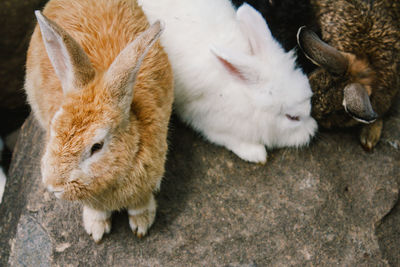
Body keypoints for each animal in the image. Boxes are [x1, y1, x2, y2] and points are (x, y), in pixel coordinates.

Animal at [23, 0, 173, 243]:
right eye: (53, 129)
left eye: (96, 147)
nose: (53, 186)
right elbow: (97, 211)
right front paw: (97, 231)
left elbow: (140, 204)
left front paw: (141, 225)